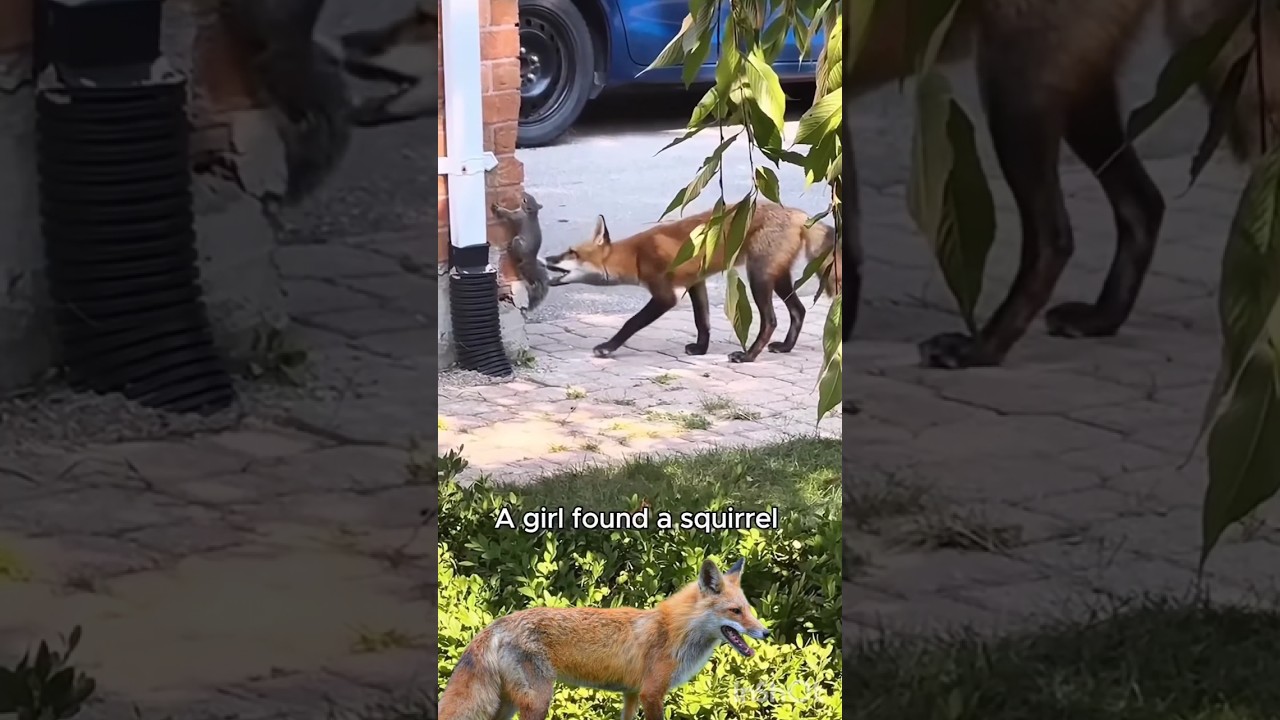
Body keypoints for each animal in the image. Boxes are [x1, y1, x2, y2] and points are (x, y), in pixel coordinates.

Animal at [439, 558, 770, 720]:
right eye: (736, 611)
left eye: (749, 610)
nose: (765, 633)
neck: (675, 631)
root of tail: (496, 623)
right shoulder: (652, 693)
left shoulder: (632, 694)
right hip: (538, 702)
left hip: (507, 705)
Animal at [544, 202, 845, 363]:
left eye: (571, 253)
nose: (545, 257)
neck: (637, 256)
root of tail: (799, 214)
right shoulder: (695, 283)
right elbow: (703, 322)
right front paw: (701, 349)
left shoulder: (666, 295)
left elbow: (631, 322)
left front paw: (607, 347)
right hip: (777, 276)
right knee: (799, 310)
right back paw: (785, 347)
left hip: (758, 277)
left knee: (771, 320)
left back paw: (748, 356)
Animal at [849, 0, 1280, 370]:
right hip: (1079, 94)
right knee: (1144, 203)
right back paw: (1101, 319)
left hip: (1018, 88)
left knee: (1054, 239)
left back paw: (982, 348)